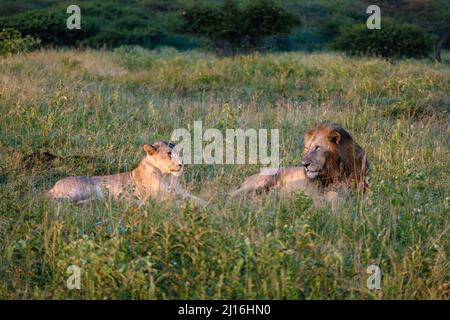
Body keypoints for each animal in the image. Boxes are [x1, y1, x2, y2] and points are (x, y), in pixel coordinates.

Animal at [46, 141, 205, 206]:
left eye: (178, 152)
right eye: (169, 153)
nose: (182, 164)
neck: (167, 176)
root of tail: (53, 186)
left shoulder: (181, 192)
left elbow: (195, 198)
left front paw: (207, 203)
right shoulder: (162, 196)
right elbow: (177, 202)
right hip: (82, 190)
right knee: (57, 202)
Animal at [230, 123, 370, 210]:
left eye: (317, 148)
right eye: (307, 149)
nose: (304, 164)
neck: (337, 170)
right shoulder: (318, 193)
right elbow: (332, 198)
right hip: (261, 181)